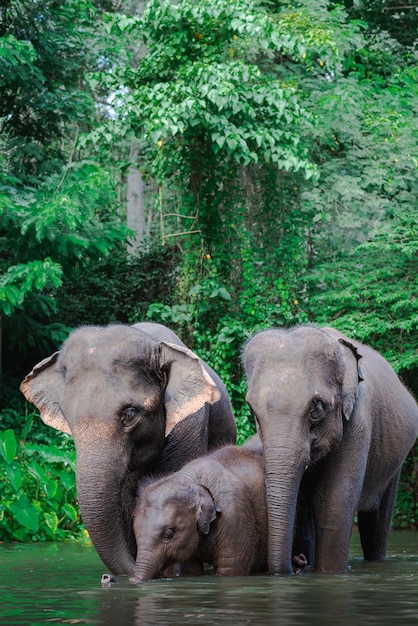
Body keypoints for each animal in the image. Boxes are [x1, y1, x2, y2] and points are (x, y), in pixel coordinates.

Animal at [131, 434, 268, 580]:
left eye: (168, 534)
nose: (132, 580)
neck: (193, 483)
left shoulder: (234, 515)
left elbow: (230, 569)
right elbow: (188, 570)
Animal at [242, 326, 418, 576]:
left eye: (316, 408)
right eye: (252, 410)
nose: (298, 563)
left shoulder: (358, 422)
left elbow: (333, 500)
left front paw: (328, 573)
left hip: (395, 461)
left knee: (377, 522)